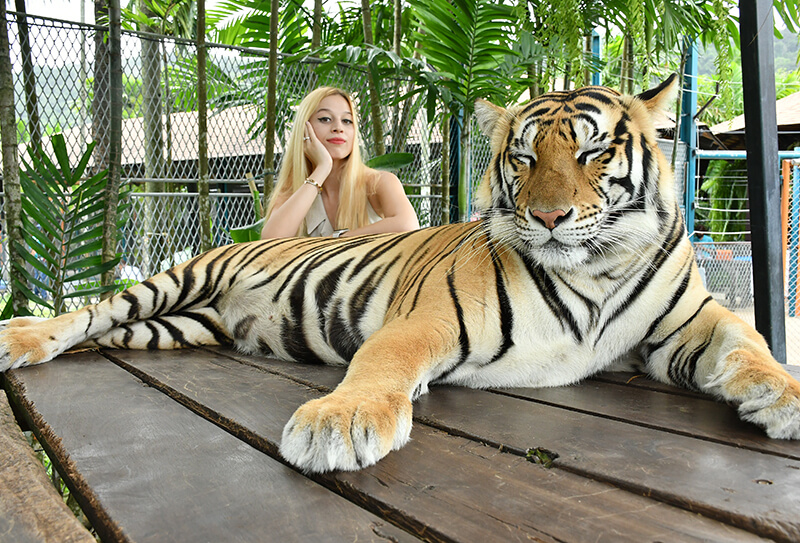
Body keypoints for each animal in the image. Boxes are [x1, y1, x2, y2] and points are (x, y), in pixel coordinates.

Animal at [2, 75, 799, 474]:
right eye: (523, 156)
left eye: (594, 151)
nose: (547, 216)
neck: (596, 273)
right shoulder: (429, 318)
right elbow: (382, 361)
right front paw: (338, 421)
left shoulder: (688, 324)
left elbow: (753, 341)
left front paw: (786, 398)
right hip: (175, 283)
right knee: (87, 314)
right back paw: (20, 336)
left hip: (179, 327)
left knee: (114, 333)